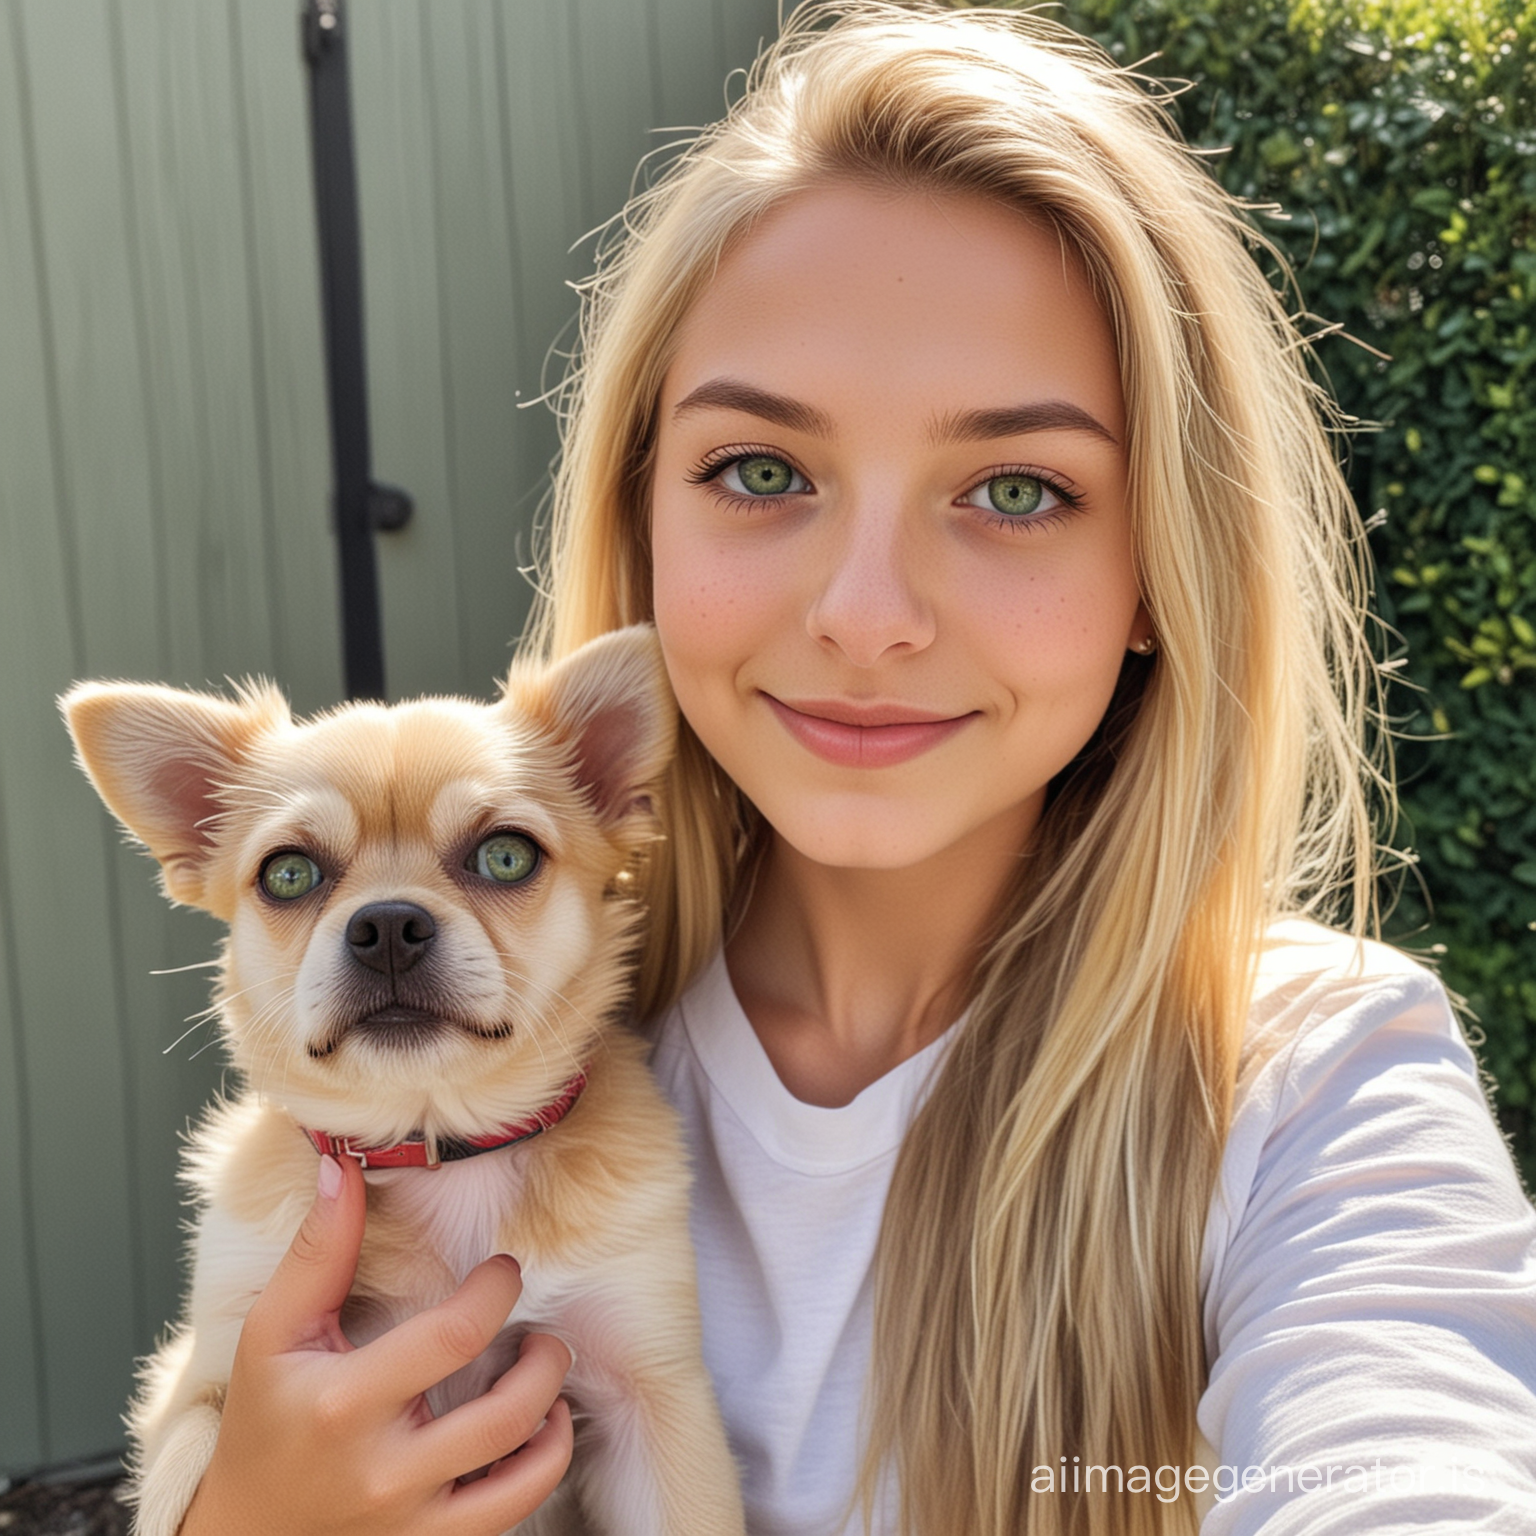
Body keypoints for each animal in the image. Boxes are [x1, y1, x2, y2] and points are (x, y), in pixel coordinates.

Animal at [62, 626, 746, 1536]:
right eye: (288, 874)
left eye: (505, 855)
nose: (387, 924)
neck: (437, 1148)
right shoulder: (216, 1362)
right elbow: (192, 1445)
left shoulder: (653, 1397)